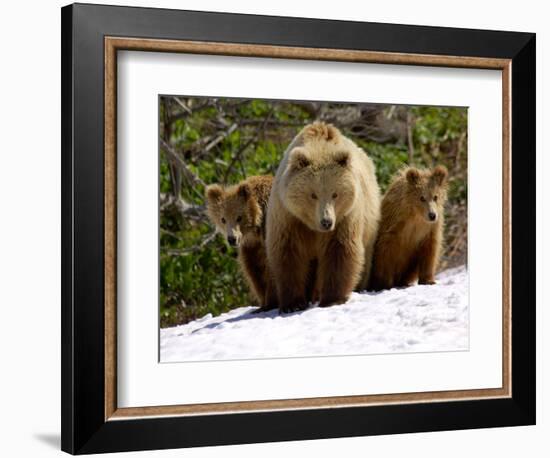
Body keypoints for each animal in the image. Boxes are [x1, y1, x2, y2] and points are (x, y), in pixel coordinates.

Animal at [206, 175, 278, 312]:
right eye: (223, 219)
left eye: (239, 217)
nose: (232, 239)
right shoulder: (251, 247)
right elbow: (253, 271)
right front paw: (263, 304)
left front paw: (271, 302)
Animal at [266, 121, 380, 312]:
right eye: (313, 194)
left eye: (335, 194)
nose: (326, 221)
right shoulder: (288, 216)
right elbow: (288, 253)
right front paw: (292, 304)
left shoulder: (345, 217)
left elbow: (339, 250)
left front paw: (332, 298)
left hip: (369, 223)